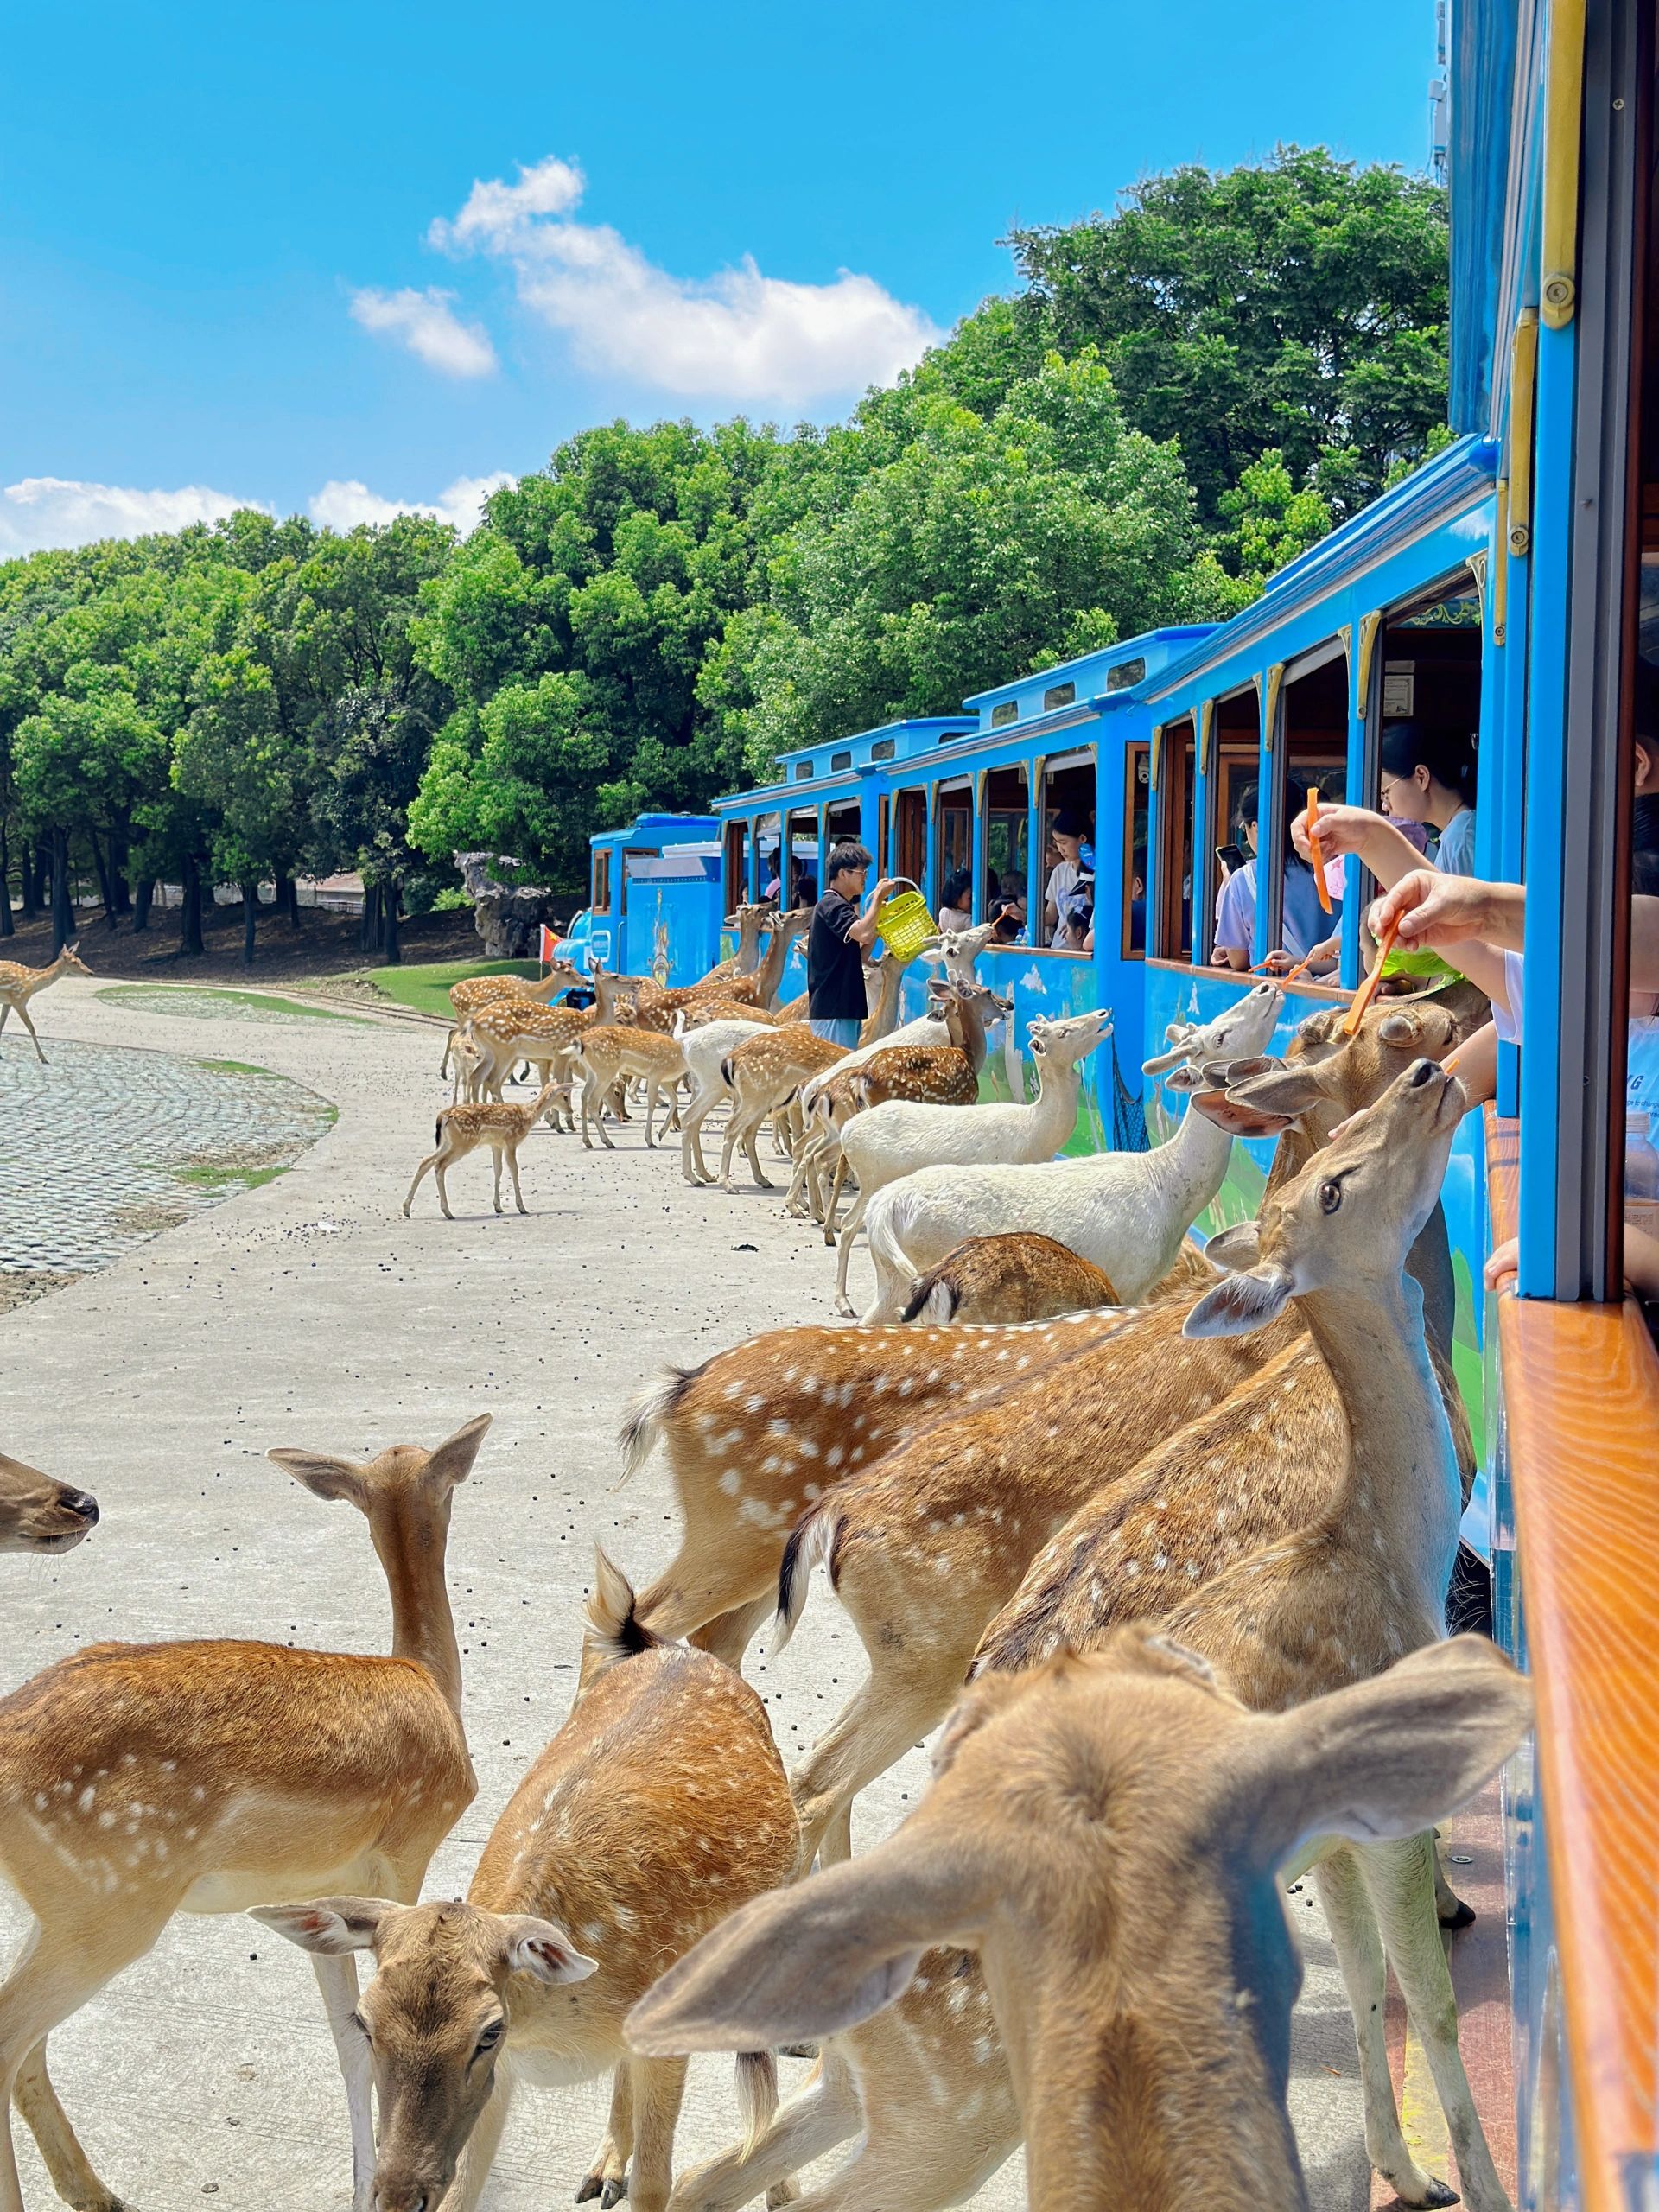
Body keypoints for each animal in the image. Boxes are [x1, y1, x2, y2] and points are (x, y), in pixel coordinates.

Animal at [0, 1415, 491, 2212]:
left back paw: (97, 2191)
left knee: (29, 2047)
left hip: (60, 1907)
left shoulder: (326, 1890)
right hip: (110, 1905)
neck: (432, 1682)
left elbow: (348, 2040)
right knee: (10, 2038)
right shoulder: (405, 1853)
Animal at [256, 1557, 800, 2212]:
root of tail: (672, 1650)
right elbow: (465, 2190)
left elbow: (657, 2185)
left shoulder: (663, 2032)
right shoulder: (509, 2074)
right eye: (363, 2021)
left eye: (488, 2030)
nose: (398, 2193)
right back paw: (605, 2169)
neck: (557, 2025)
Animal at [404, 1079, 562, 1221]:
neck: (528, 1115)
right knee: (440, 1165)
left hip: (448, 1142)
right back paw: (447, 1212)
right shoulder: (510, 1141)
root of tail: (442, 1117)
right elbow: (514, 1170)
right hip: (462, 1143)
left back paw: (407, 1210)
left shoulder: (496, 1144)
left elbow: (498, 1169)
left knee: (427, 1161)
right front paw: (521, 1207)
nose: (568, 1111)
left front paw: (498, 1206)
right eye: (564, 1096)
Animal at [632, 1628, 1530, 2212]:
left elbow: (1367, 1978)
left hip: (871, 2091)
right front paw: (1478, 2188)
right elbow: (1431, 1997)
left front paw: (1410, 2175)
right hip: (953, 2121)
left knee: (708, 2182)